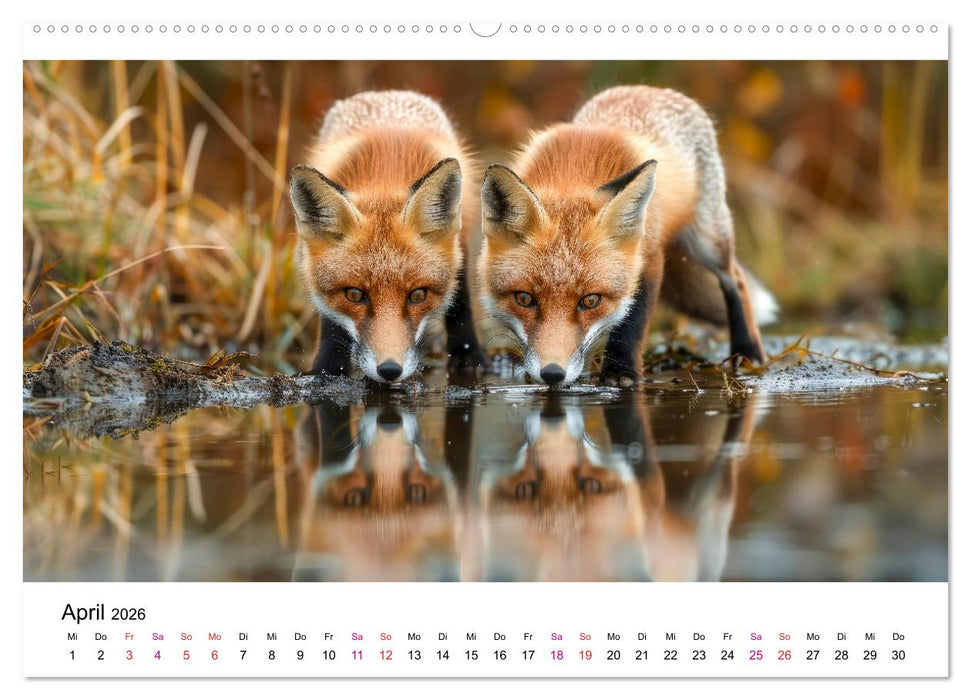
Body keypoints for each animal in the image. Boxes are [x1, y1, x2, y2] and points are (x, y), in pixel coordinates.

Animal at [289, 90, 481, 384]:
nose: (390, 370)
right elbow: (332, 322)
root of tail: (385, 93)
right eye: (354, 295)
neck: (385, 175)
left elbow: (459, 302)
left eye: (418, 295)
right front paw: (327, 368)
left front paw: (468, 356)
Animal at [479, 85, 778, 387]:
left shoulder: (649, 257)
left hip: (708, 239)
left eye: (591, 301)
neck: (573, 175)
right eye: (524, 299)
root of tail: (649, 89)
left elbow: (632, 320)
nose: (552, 374)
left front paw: (620, 371)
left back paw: (748, 351)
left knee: (735, 279)